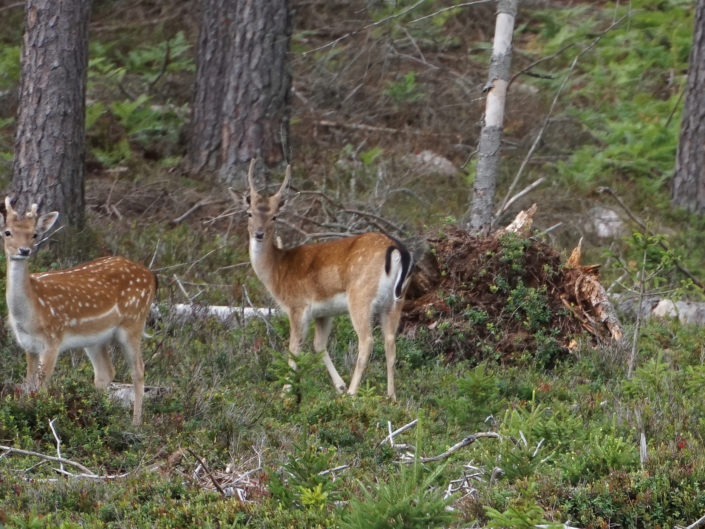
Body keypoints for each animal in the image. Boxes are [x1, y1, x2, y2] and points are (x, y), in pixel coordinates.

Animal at [1, 197, 157, 425]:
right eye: (7, 232)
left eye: (34, 234)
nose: (24, 250)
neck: (30, 315)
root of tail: (151, 275)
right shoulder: (28, 345)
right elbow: (29, 383)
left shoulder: (53, 340)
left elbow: (42, 387)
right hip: (95, 338)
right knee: (105, 372)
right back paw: (97, 414)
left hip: (134, 322)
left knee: (138, 369)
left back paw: (135, 423)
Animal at [239, 161, 413, 400]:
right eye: (249, 213)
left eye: (275, 216)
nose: (258, 234)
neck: (277, 271)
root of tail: (397, 250)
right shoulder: (324, 313)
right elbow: (319, 345)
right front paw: (338, 386)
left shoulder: (297, 306)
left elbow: (294, 348)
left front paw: (286, 392)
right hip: (397, 299)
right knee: (390, 341)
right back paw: (391, 397)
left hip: (360, 296)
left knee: (367, 341)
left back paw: (352, 394)